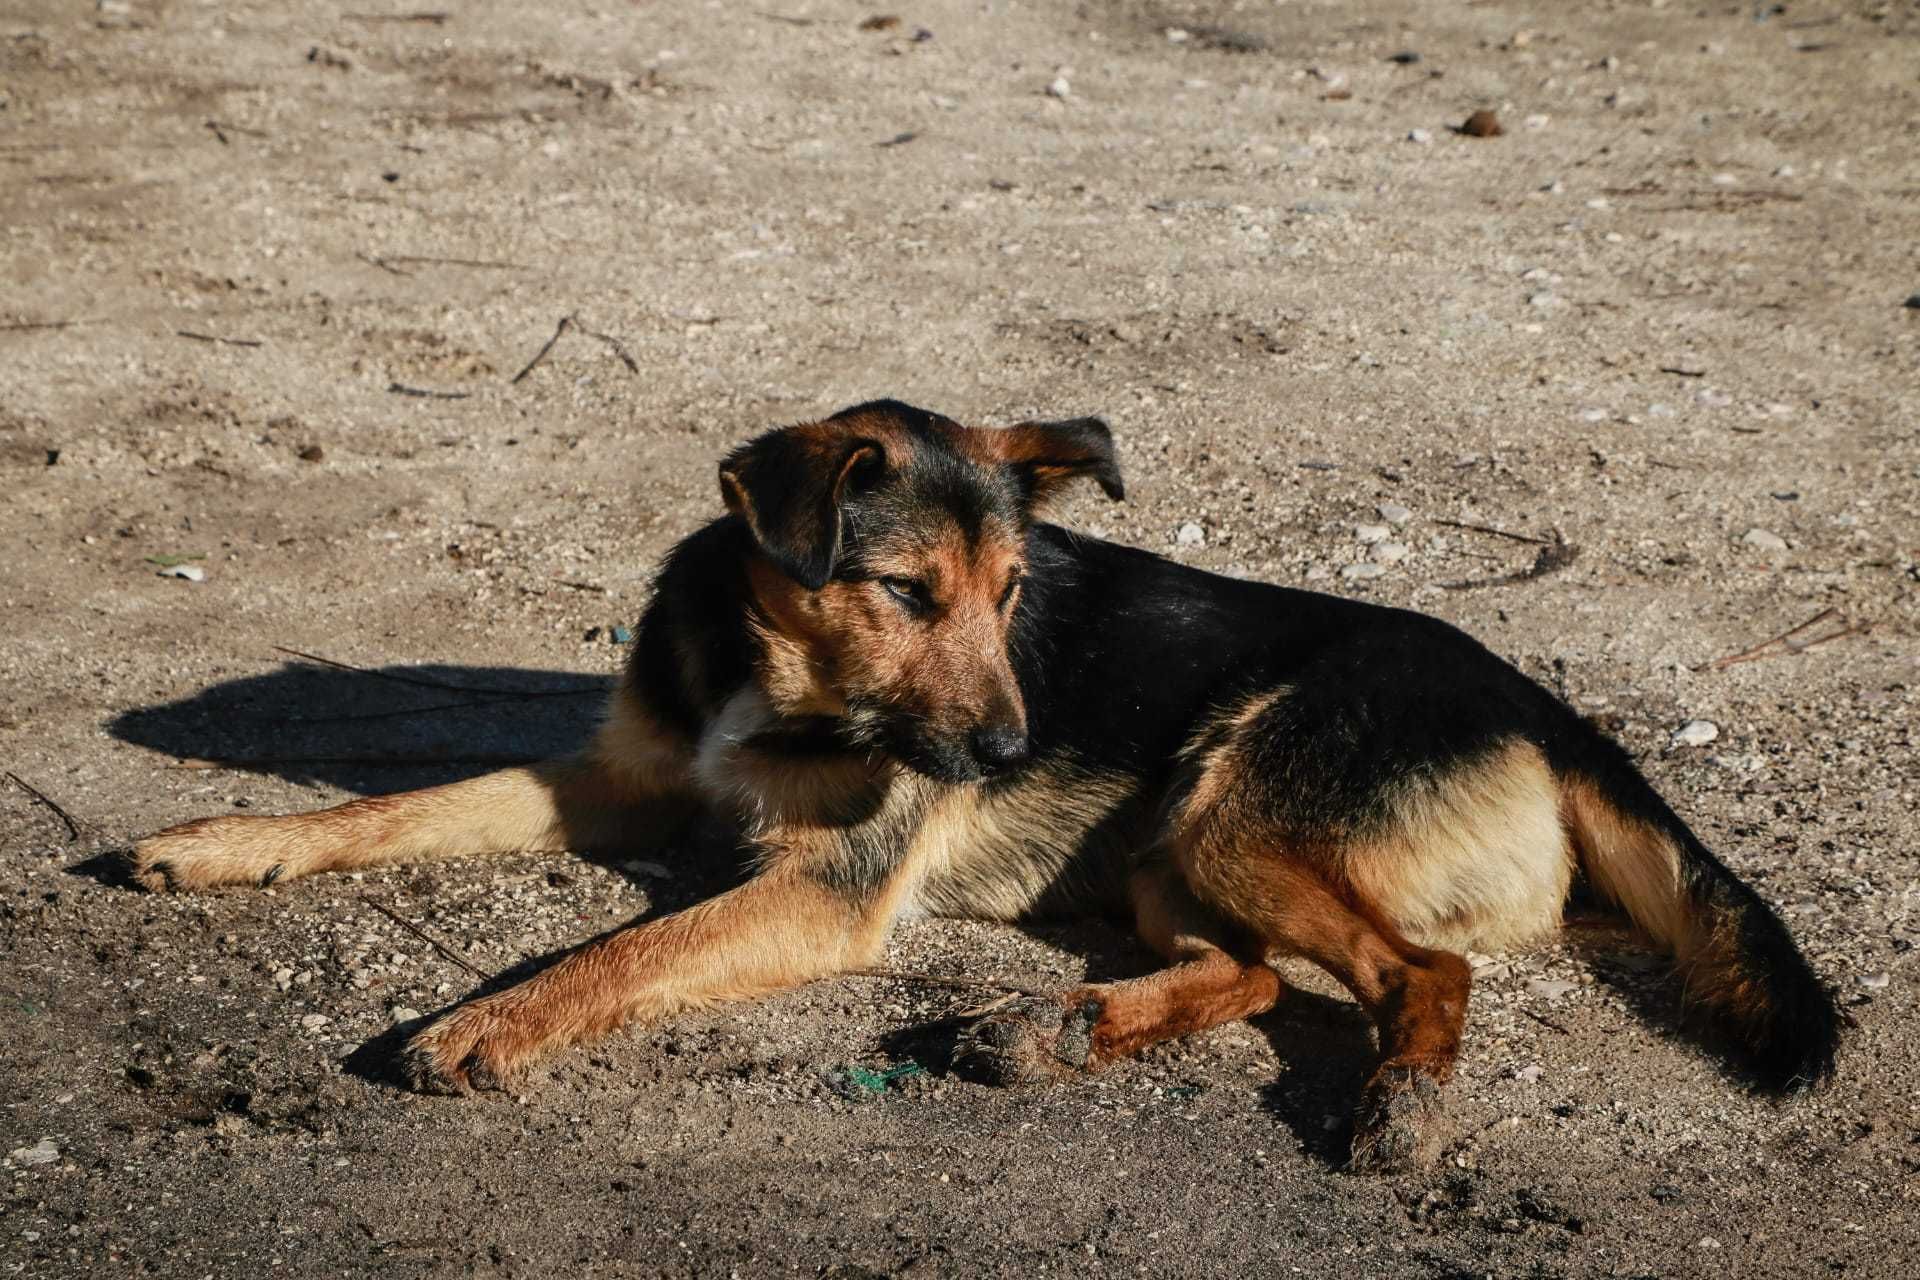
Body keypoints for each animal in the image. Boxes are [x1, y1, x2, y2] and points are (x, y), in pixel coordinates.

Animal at [131, 401, 1843, 1174]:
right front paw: (226, 840)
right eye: (905, 590)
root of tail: (1550, 712)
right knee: (1249, 976)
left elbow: (628, 947)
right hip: (1169, 849)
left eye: (1014, 590)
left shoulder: (820, 894)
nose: (1018, 753)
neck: (783, 671)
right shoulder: (622, 775)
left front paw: (491, 1020)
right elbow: (398, 805)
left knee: (1417, 973)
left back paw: (1401, 1106)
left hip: (1232, 800)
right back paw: (1046, 1028)